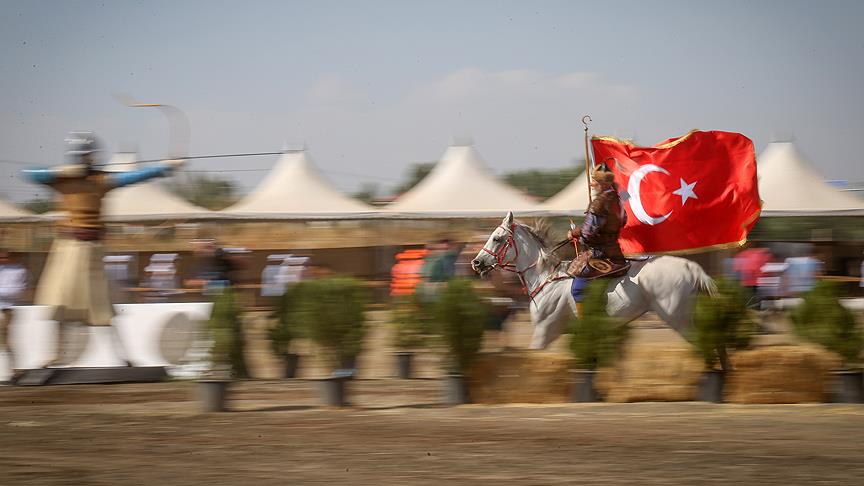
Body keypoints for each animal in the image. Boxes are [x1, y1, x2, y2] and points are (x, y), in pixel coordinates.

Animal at [470, 213, 720, 354]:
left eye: (497, 238)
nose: (476, 262)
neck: (547, 278)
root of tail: (690, 267)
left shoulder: (544, 330)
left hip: (677, 318)